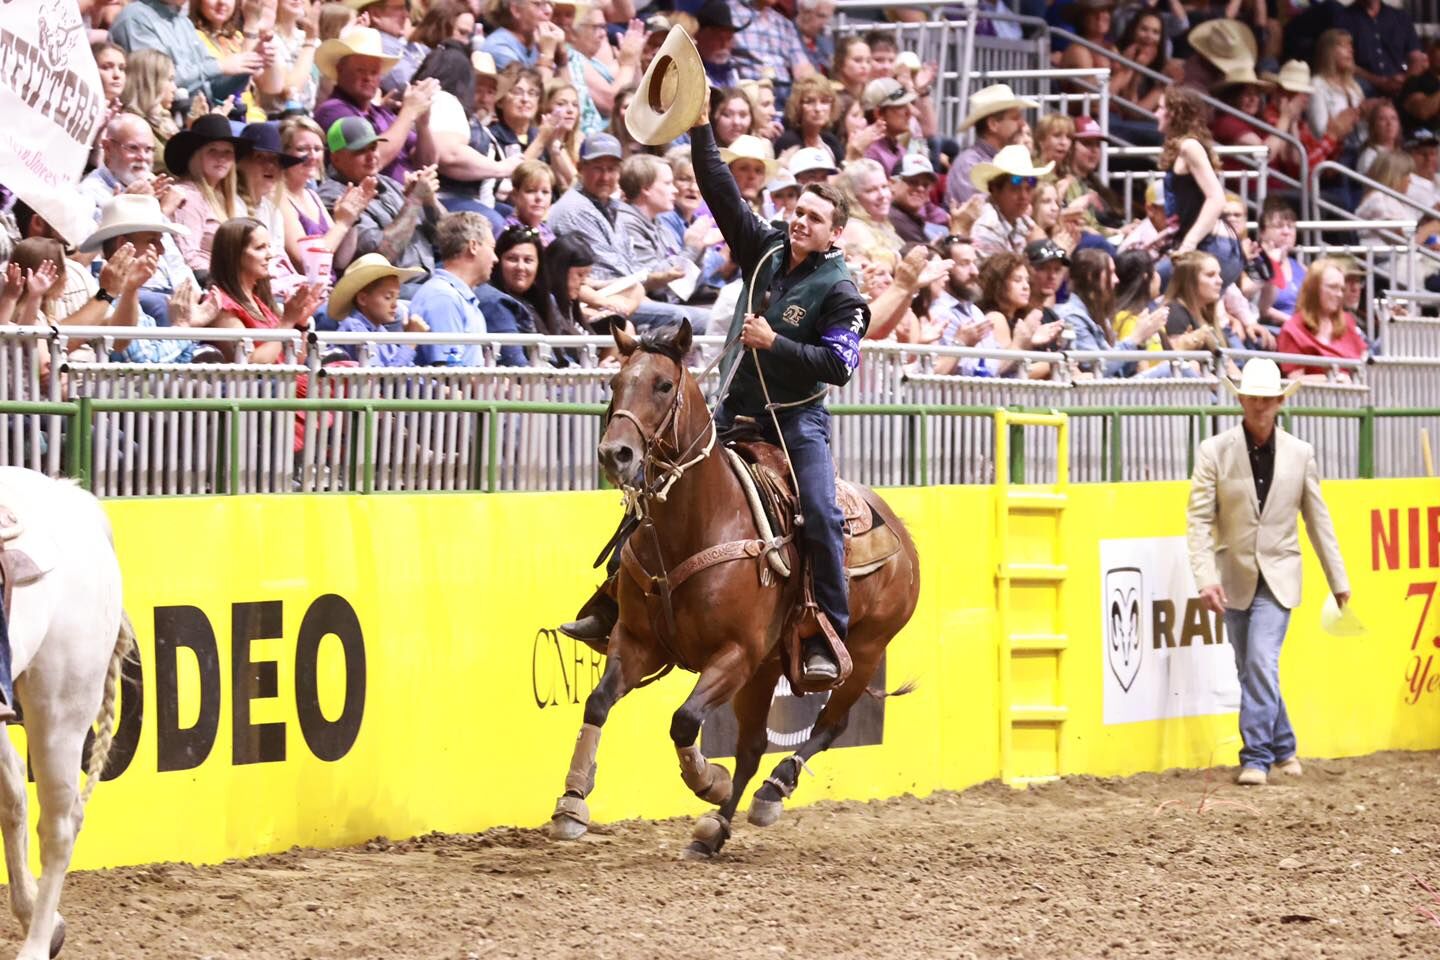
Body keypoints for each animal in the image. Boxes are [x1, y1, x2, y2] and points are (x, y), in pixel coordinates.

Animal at [544, 322, 915, 863]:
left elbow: (684, 719)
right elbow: (597, 703)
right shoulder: (636, 642)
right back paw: (714, 830)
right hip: (767, 669)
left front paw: (708, 781)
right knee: (753, 745)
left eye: (663, 385)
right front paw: (571, 803)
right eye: (614, 382)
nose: (615, 454)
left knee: (828, 725)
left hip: (863, 649)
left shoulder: (735, 653)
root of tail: (902, 534)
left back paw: (769, 793)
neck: (698, 522)